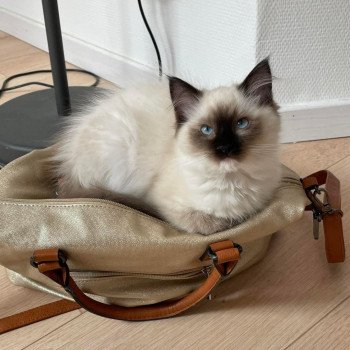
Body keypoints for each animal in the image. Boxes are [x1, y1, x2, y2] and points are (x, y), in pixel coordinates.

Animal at [52, 58, 282, 235]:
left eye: (241, 124)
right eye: (206, 129)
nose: (225, 148)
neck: (231, 184)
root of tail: (68, 164)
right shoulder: (165, 204)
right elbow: (208, 224)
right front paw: (224, 222)